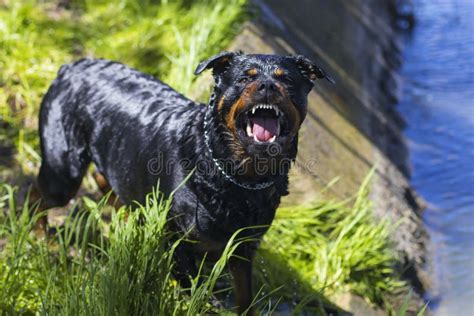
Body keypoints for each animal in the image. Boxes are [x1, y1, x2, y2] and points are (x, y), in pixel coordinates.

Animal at [37, 51, 332, 314]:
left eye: (287, 80)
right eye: (243, 79)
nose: (268, 85)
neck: (239, 177)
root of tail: (71, 67)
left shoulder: (243, 248)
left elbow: (245, 297)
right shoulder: (177, 243)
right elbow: (199, 296)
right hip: (63, 170)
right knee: (39, 197)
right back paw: (39, 235)